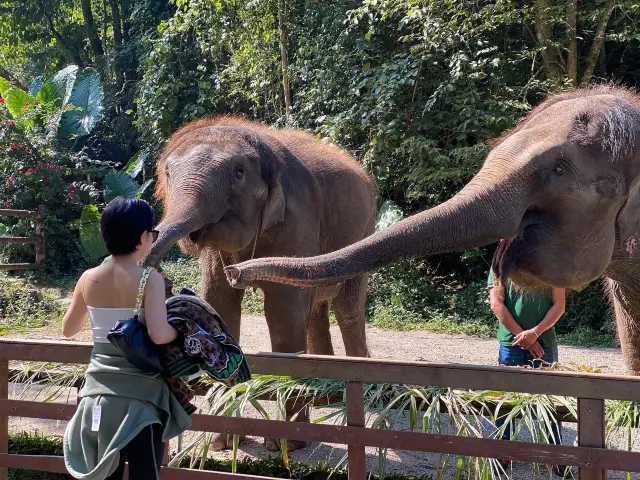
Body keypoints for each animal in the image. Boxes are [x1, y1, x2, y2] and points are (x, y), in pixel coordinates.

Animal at [142, 115, 378, 450]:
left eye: (239, 172)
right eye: (167, 173)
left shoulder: (298, 220)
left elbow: (283, 312)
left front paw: (286, 445)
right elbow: (220, 304)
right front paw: (219, 443)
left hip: (364, 229)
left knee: (346, 308)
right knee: (315, 310)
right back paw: (325, 395)